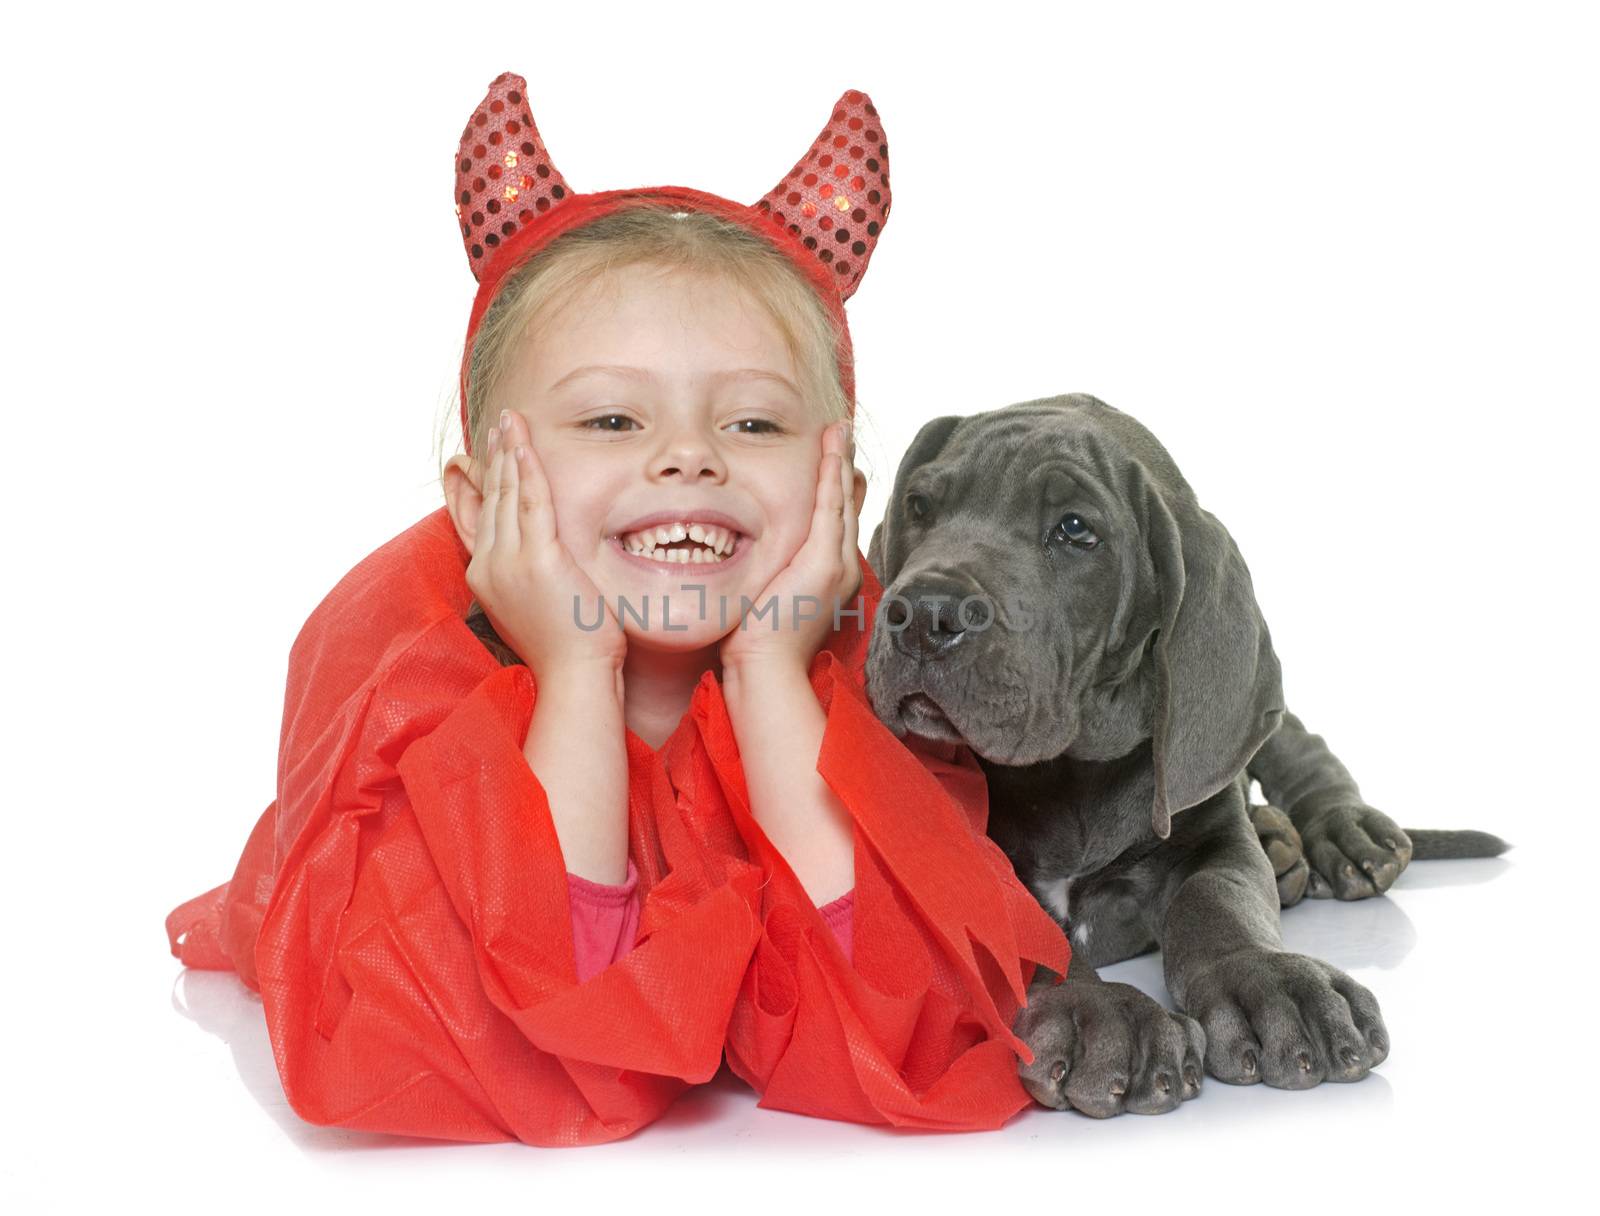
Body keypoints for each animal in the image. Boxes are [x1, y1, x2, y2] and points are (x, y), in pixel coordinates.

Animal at [864, 393, 1497, 1113]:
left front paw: (1272, 983)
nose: (922, 612)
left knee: (1301, 748)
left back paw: (1338, 833)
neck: (1070, 776)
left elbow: (1217, 901)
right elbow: (1022, 924)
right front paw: (1100, 1011)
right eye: (919, 506)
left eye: (1075, 530)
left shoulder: (1217, 837)